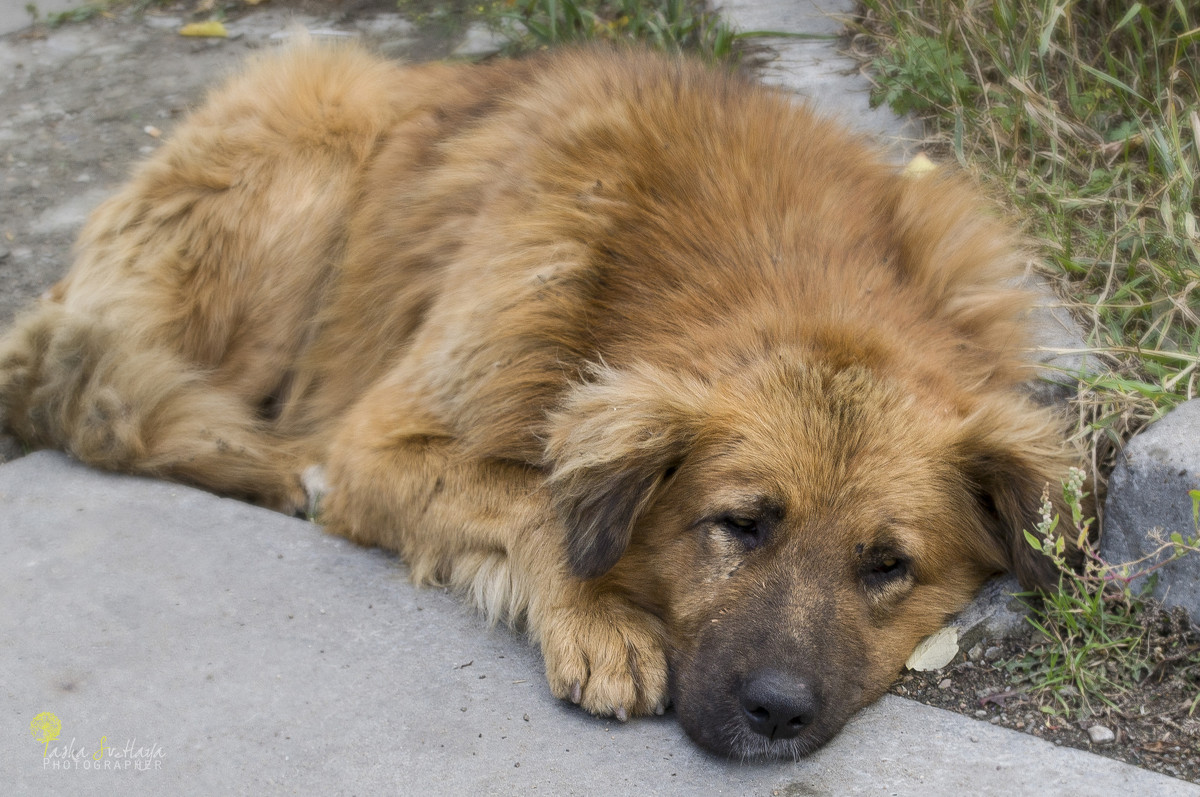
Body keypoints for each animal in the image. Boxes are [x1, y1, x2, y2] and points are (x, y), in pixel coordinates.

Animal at [0, 42, 1075, 758]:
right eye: (740, 524)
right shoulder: (379, 440)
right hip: (311, 160)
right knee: (88, 395)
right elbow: (532, 496)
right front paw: (598, 618)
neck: (762, 255)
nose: (776, 712)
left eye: (888, 564)